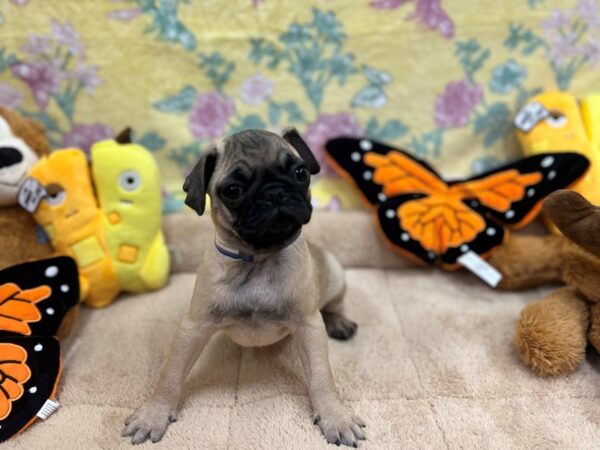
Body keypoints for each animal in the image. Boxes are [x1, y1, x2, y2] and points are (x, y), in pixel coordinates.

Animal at [122, 127, 366, 446]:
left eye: (300, 172)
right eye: (233, 191)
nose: (275, 192)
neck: (258, 258)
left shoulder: (308, 325)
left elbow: (321, 376)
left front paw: (335, 417)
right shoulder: (193, 326)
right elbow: (170, 375)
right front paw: (154, 414)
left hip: (335, 276)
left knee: (334, 305)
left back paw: (340, 322)